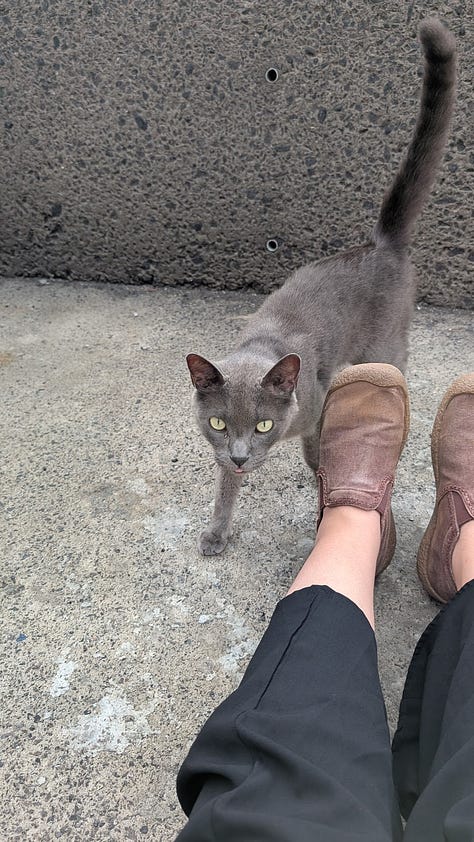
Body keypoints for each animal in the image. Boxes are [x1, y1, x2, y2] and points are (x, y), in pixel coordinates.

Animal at [185, 19, 456, 556]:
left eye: (264, 424)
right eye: (219, 423)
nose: (243, 456)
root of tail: (380, 243)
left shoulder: (310, 412)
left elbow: (315, 451)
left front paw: (320, 481)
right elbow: (225, 484)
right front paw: (217, 530)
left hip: (386, 344)